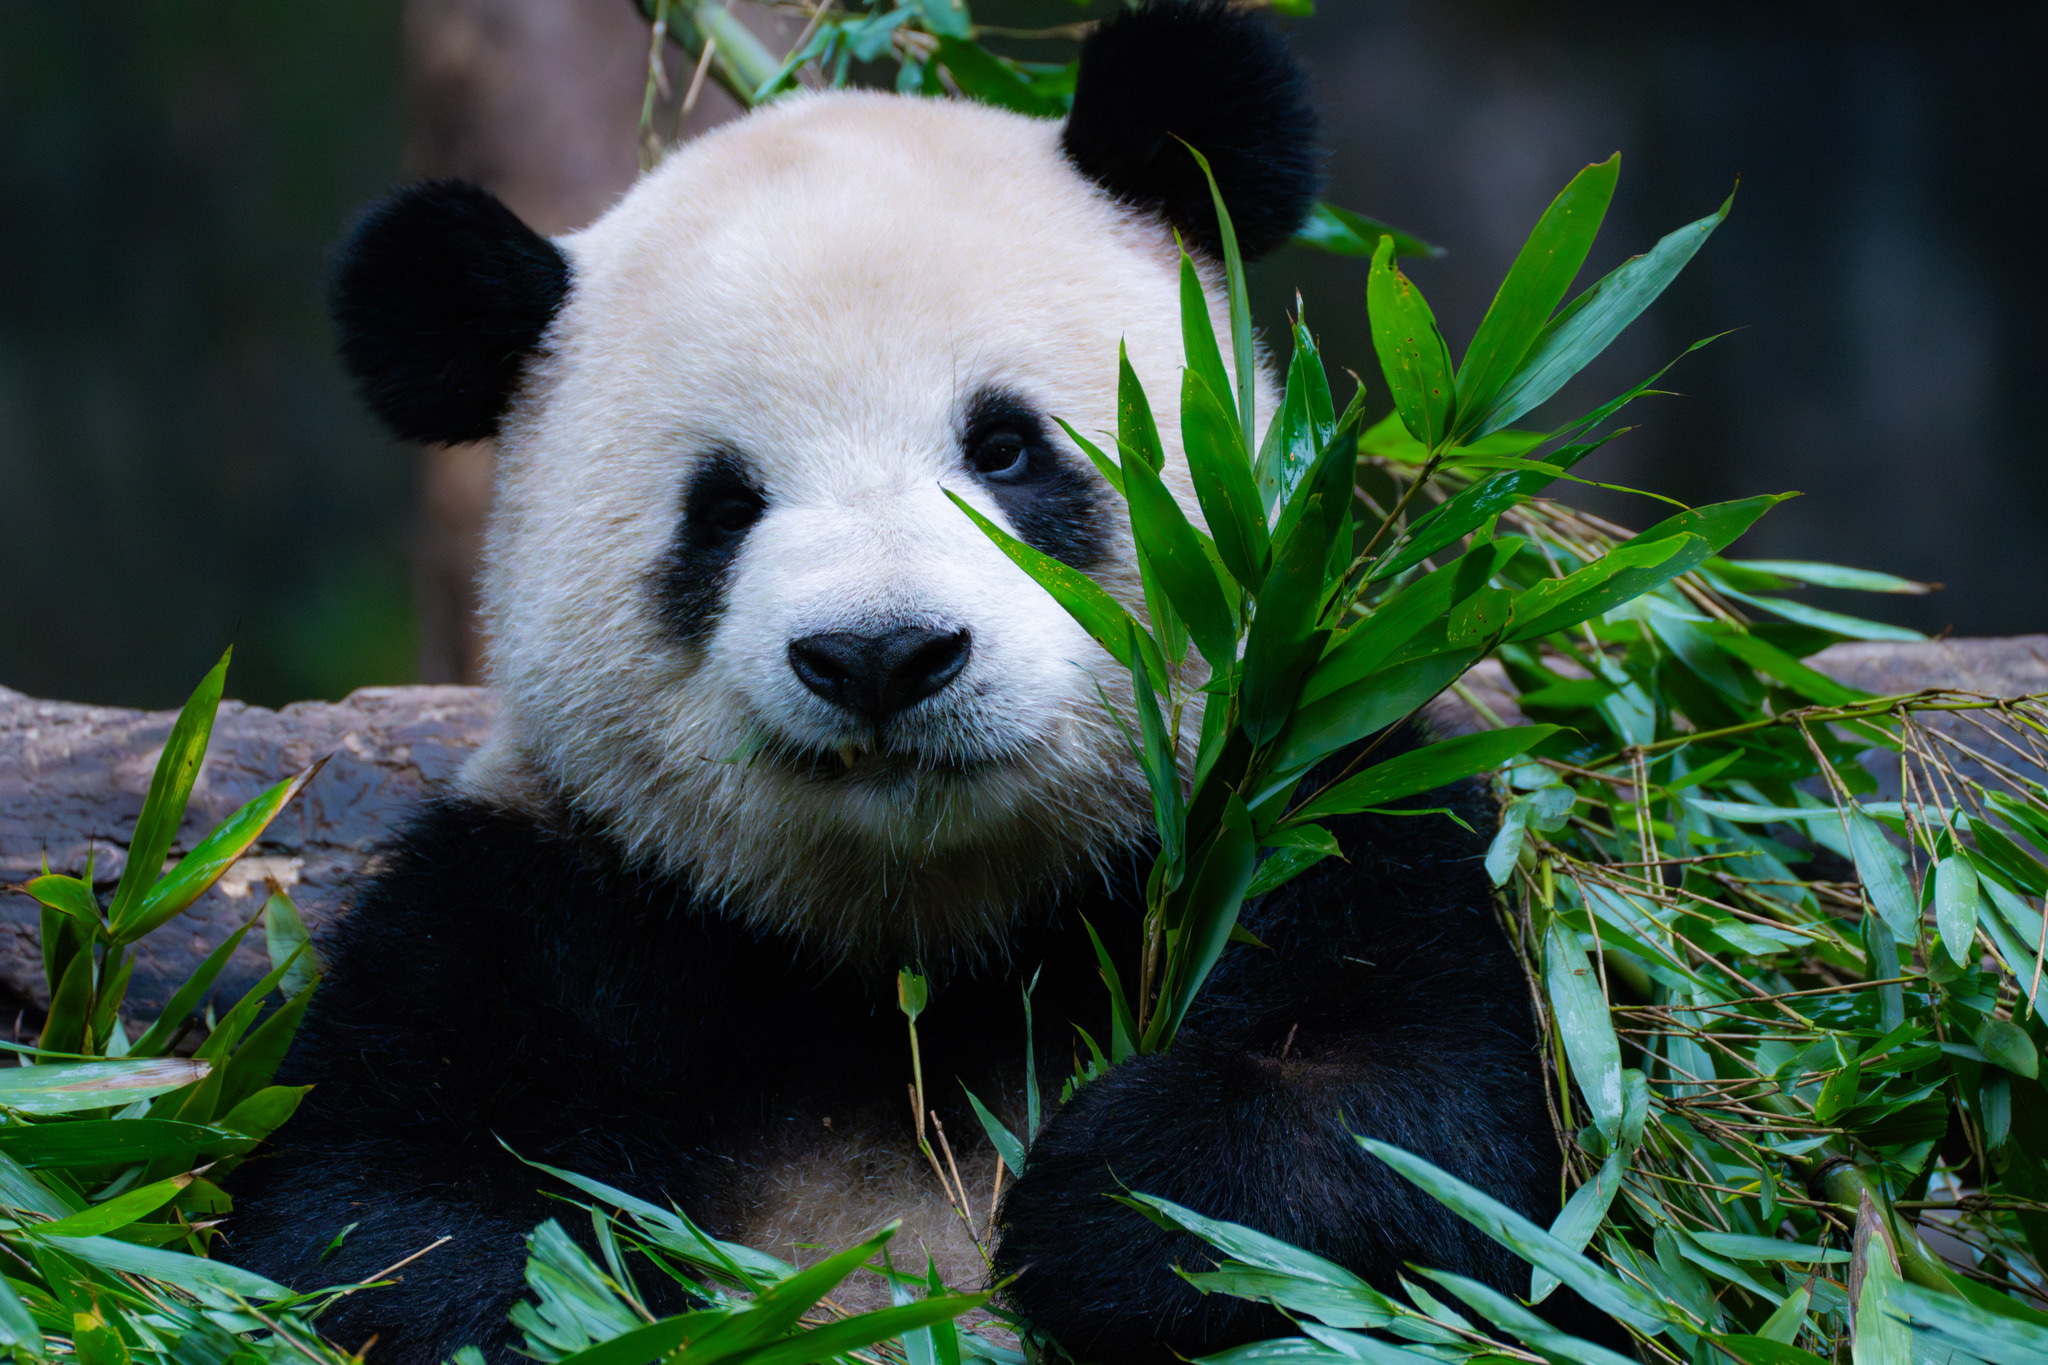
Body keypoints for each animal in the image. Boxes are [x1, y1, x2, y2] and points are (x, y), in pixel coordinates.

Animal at [228, 2, 1597, 1365]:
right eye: (723, 506)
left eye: (1005, 447)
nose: (881, 655)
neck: (914, 950)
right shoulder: (543, 900)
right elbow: (387, 1219)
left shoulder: (1312, 805)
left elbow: (1429, 1127)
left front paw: (1118, 1199)